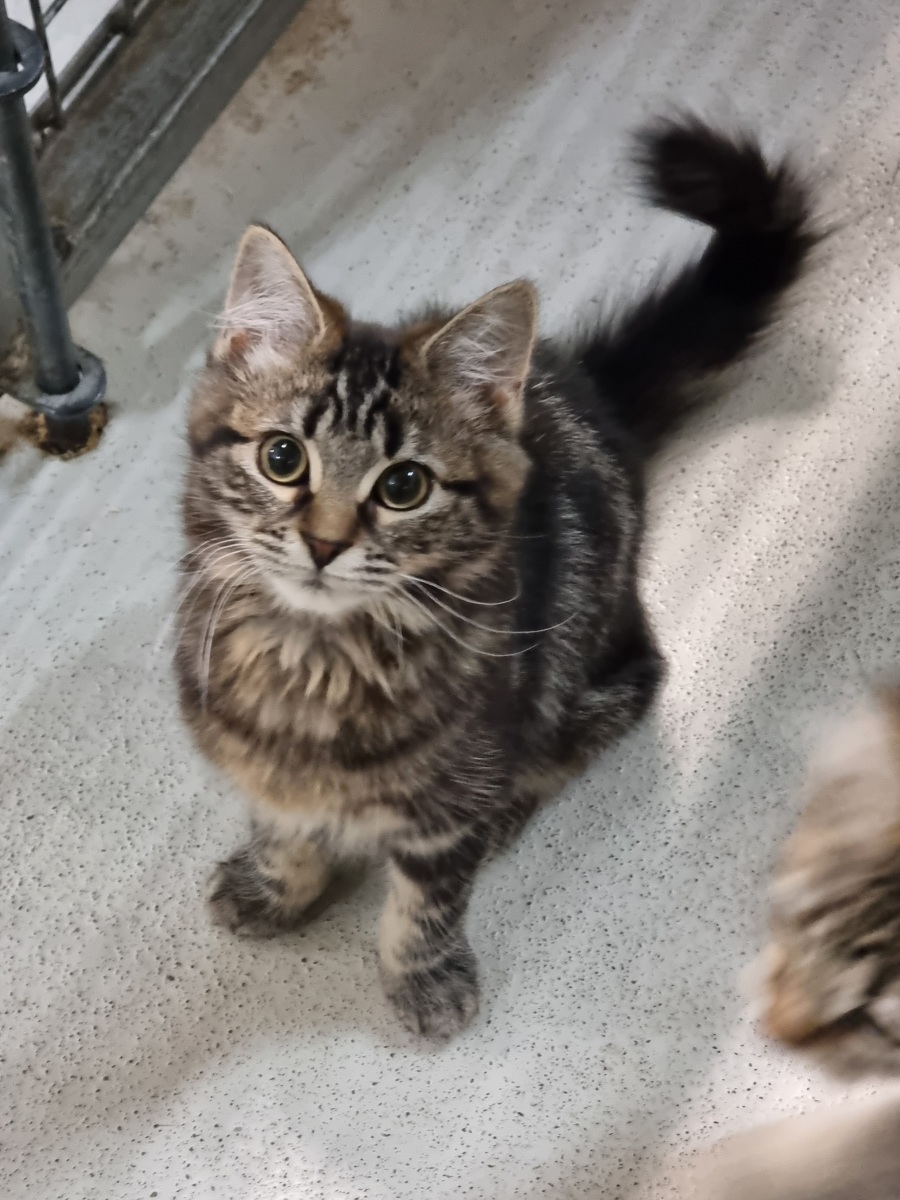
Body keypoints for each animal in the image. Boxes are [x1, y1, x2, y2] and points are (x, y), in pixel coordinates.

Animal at [175, 115, 814, 1038]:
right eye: (282, 458)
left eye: (403, 485)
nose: (324, 545)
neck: (316, 658)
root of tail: (581, 389)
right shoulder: (253, 754)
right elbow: (282, 823)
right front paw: (276, 885)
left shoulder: (454, 783)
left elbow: (427, 899)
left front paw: (422, 976)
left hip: (596, 662)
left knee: (613, 709)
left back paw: (513, 803)